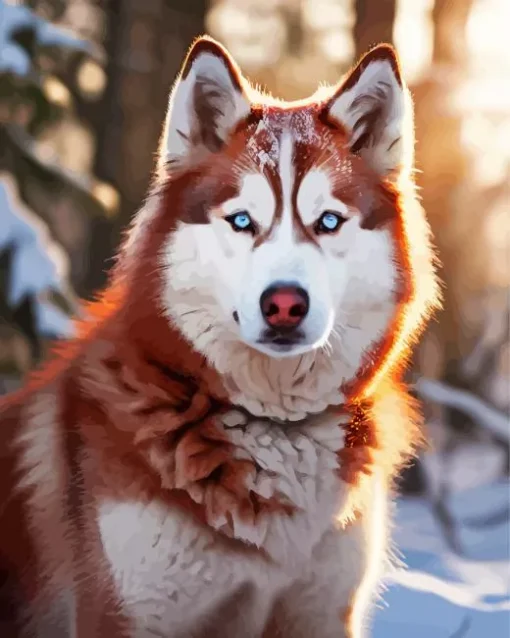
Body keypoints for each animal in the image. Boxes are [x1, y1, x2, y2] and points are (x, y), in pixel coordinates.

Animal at [0, 36, 438, 638]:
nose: (284, 303)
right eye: (242, 221)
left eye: (327, 221)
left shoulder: (320, 613)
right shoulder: (124, 614)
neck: (275, 429)